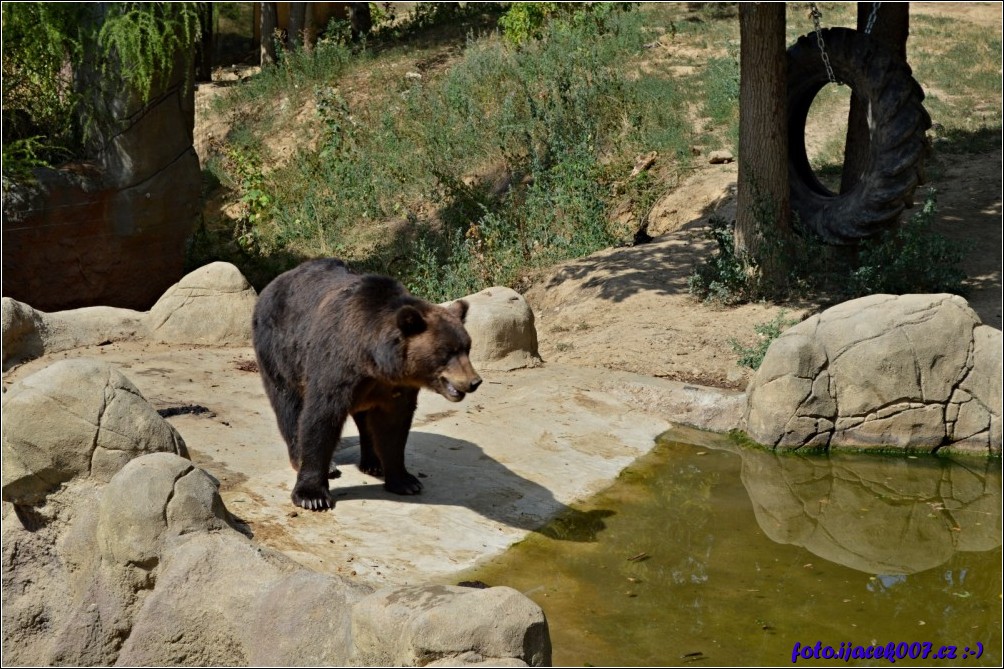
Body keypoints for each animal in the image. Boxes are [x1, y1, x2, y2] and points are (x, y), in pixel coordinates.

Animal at [253, 257, 483, 508]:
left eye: (467, 347)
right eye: (446, 352)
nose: (473, 381)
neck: (372, 359)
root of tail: (275, 281)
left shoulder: (392, 387)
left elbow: (394, 426)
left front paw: (405, 481)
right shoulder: (335, 366)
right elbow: (321, 417)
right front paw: (312, 495)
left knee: (364, 419)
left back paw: (373, 462)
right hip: (279, 351)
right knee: (288, 406)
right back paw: (311, 460)